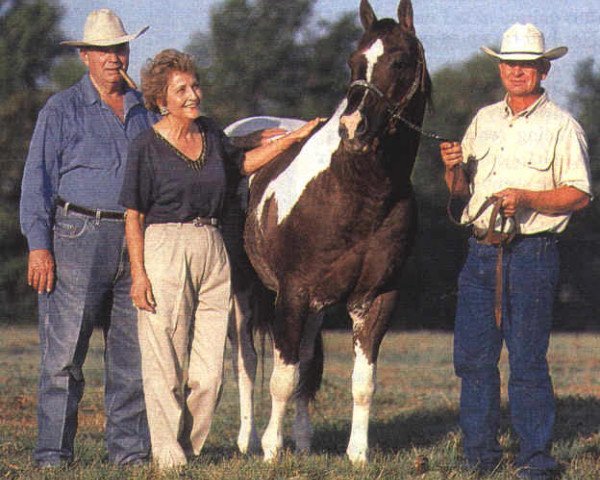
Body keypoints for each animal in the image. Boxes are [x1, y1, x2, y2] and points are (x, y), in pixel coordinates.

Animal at [227, 0, 428, 464]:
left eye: (400, 61)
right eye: (354, 61)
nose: (353, 126)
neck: (356, 192)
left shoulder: (375, 298)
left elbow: (360, 383)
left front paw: (358, 454)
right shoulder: (292, 293)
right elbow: (280, 378)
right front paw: (271, 449)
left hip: (314, 307)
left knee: (302, 359)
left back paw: (302, 440)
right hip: (244, 292)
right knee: (247, 361)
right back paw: (249, 440)